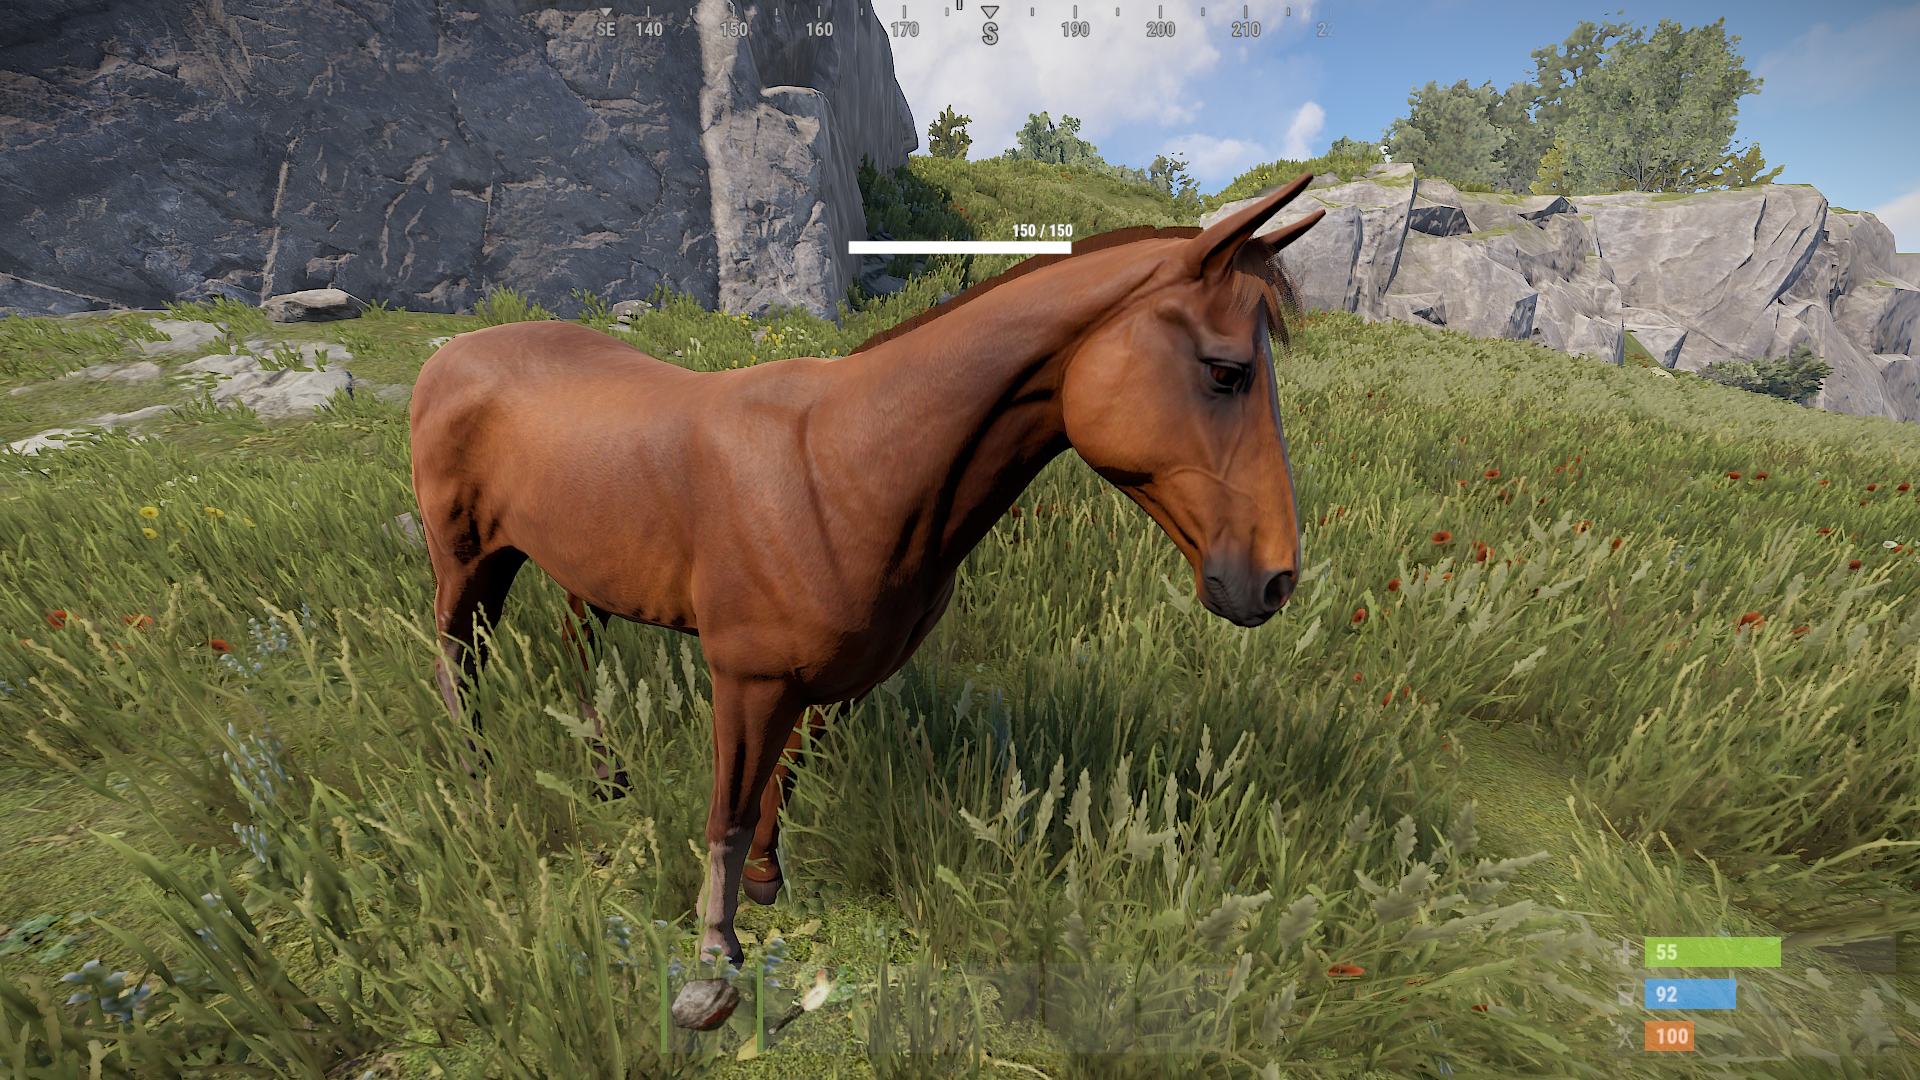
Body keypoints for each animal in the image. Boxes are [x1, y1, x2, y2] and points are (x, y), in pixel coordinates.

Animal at [407, 171, 1326, 1006]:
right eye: (1226, 373)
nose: (1273, 580)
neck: (844, 468)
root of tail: (452, 354)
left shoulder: (842, 676)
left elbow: (787, 774)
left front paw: (769, 881)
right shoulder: (748, 677)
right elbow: (728, 808)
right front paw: (713, 963)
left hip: (572, 567)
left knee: (574, 650)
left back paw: (603, 776)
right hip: (468, 558)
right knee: (457, 653)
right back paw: (473, 773)